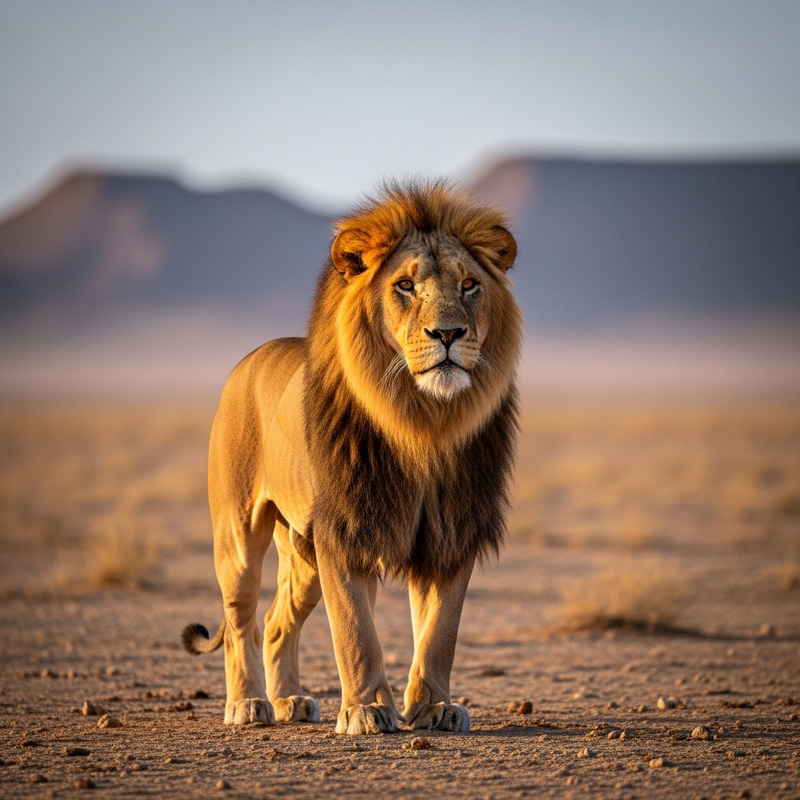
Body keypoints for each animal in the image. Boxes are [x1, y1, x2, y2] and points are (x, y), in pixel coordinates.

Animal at [182, 179, 522, 734]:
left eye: (470, 284)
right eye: (405, 286)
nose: (448, 334)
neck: (422, 422)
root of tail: (251, 356)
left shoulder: (451, 532)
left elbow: (440, 634)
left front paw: (434, 707)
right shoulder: (343, 531)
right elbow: (356, 632)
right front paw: (365, 710)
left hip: (301, 551)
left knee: (275, 624)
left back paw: (289, 701)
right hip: (239, 533)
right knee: (239, 621)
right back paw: (248, 705)